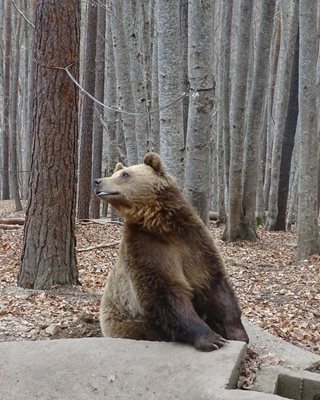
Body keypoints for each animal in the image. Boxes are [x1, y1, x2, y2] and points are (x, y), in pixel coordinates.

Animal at [94, 152, 249, 352]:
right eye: (117, 173)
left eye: (124, 174)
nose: (98, 181)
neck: (160, 224)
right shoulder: (147, 248)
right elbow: (166, 292)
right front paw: (212, 339)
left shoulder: (193, 242)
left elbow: (213, 283)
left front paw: (237, 333)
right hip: (130, 323)